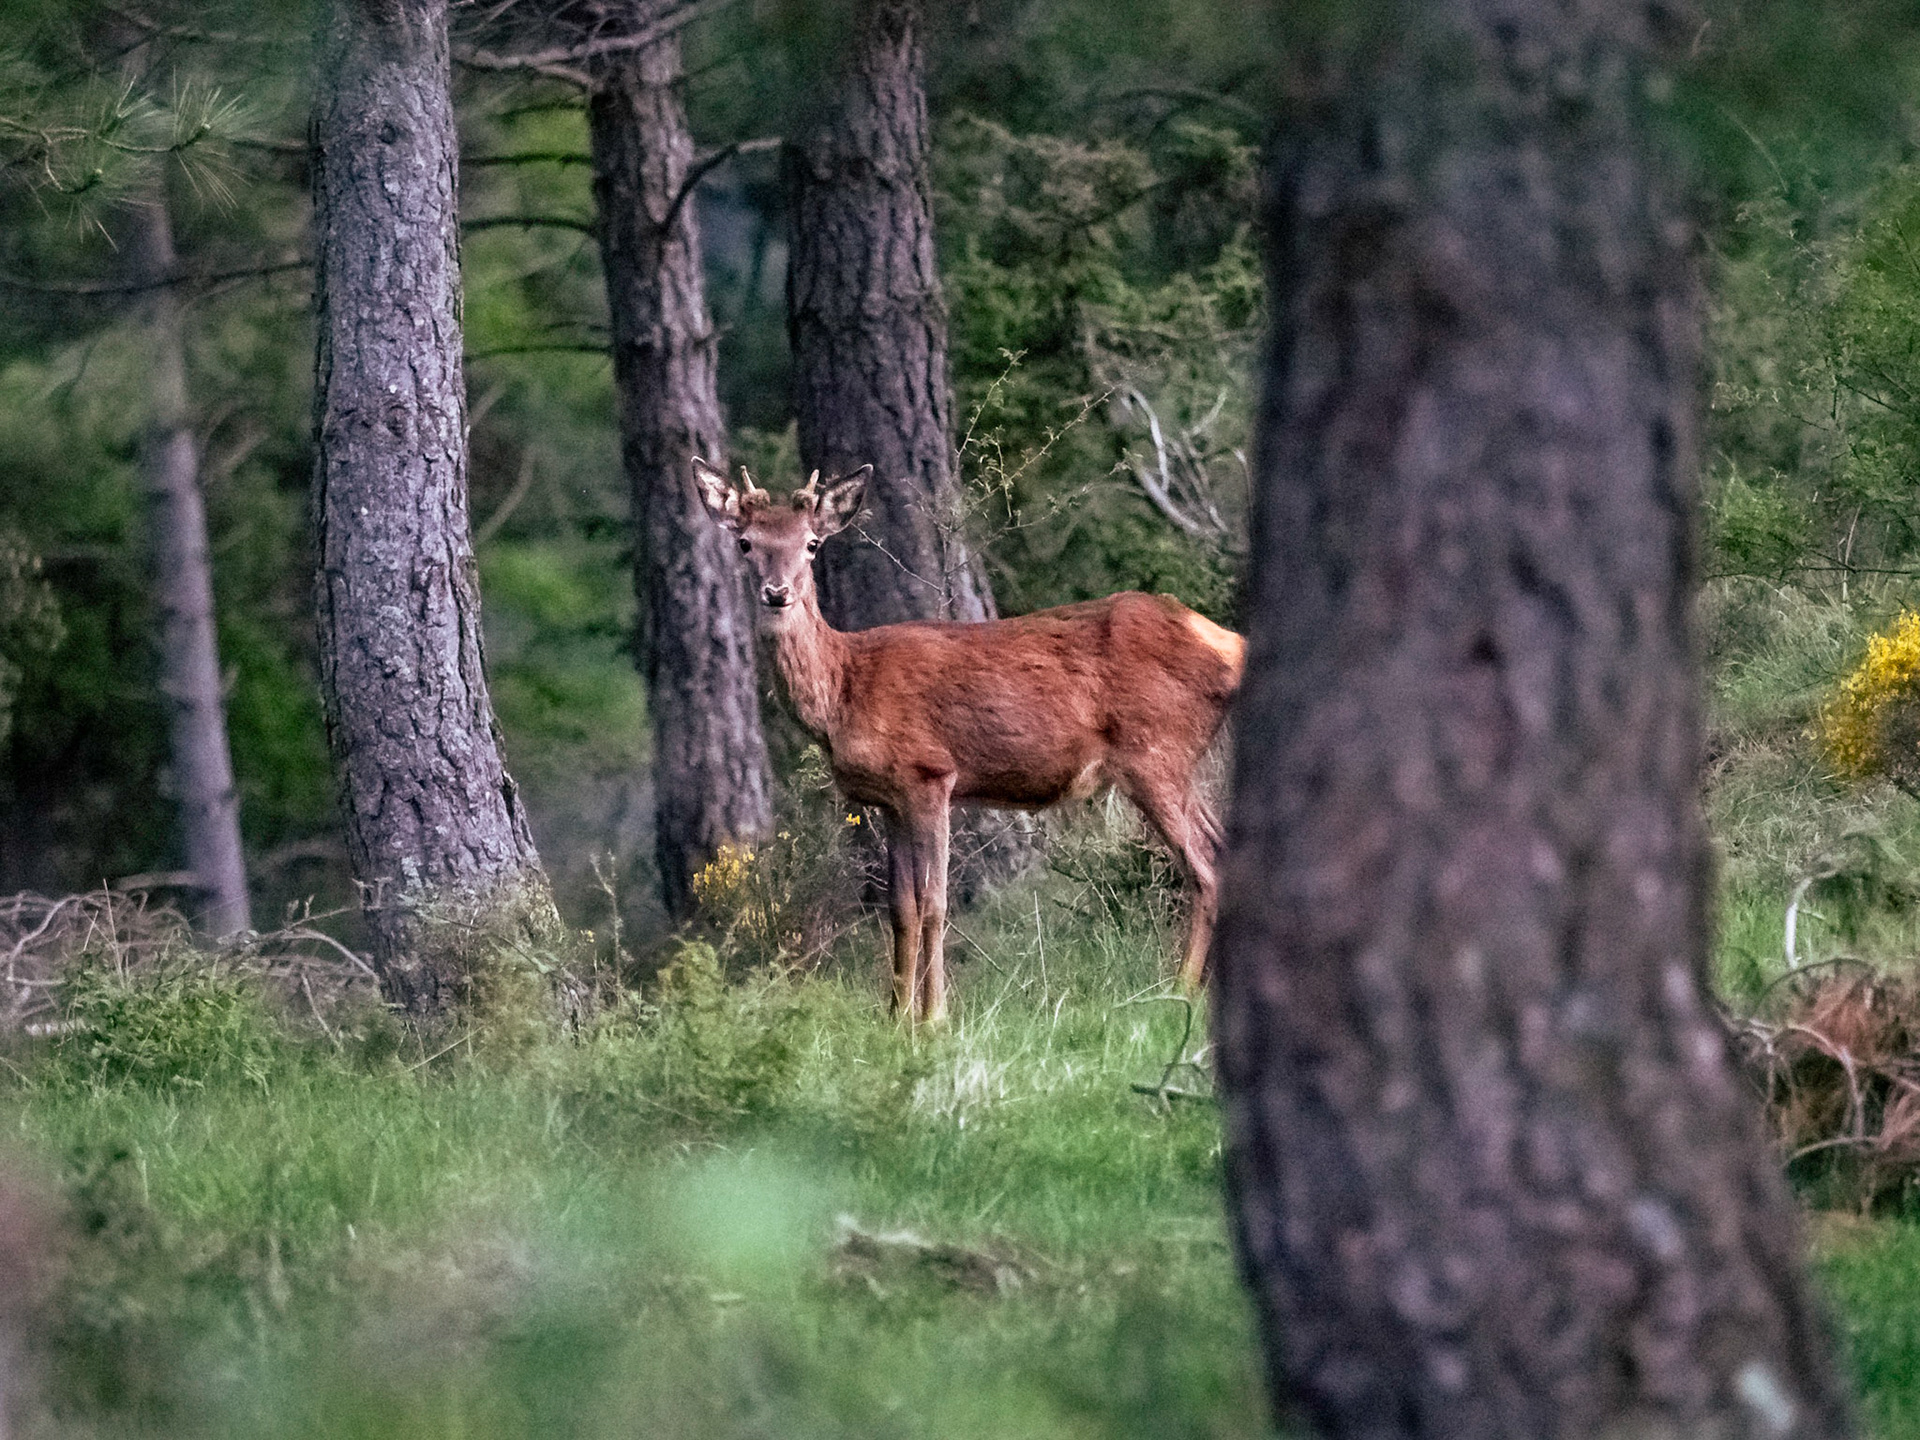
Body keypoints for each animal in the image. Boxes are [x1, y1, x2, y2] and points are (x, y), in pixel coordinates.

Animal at [693, 458, 1244, 1025]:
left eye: (811, 544)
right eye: (746, 543)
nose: (777, 592)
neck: (843, 692)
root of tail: (1232, 645)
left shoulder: (930, 773)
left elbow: (935, 903)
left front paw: (934, 1017)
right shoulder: (890, 799)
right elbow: (901, 908)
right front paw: (896, 1017)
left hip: (1155, 750)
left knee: (1204, 866)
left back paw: (1180, 990)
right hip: (1174, 760)